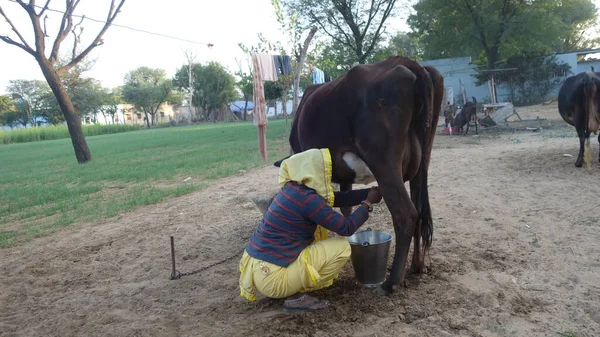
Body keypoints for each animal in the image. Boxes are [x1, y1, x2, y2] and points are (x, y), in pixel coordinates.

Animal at [274, 56, 442, 292]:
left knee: (406, 213)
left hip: (384, 162)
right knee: (419, 210)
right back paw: (416, 266)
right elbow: (346, 207)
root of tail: (406, 62)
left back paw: (391, 283)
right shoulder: (345, 179)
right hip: (422, 162)